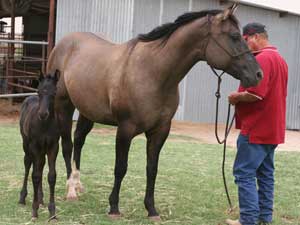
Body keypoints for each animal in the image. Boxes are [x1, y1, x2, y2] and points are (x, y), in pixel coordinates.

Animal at [18, 71, 59, 220]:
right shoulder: (34, 146)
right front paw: (34, 210)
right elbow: (35, 176)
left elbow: (51, 176)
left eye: (54, 93)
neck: (45, 125)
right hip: (27, 146)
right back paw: (22, 198)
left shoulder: (53, 147)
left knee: (40, 166)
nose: (43, 114)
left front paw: (52, 211)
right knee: (28, 165)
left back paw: (41, 199)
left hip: (42, 150)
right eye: (39, 92)